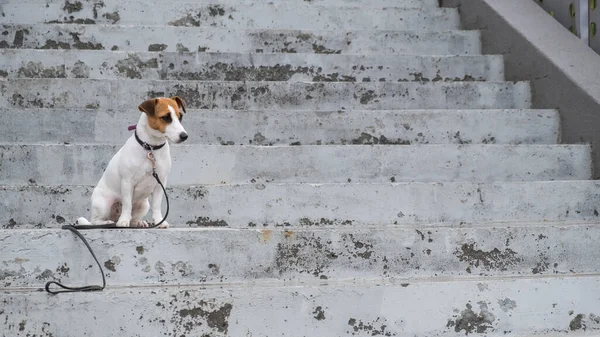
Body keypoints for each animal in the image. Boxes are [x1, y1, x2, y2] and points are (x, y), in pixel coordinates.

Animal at [77, 97, 188, 228]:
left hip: (144, 205)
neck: (151, 148)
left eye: (180, 116)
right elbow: (127, 204)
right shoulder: (127, 182)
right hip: (103, 203)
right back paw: (108, 222)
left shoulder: (160, 183)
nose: (184, 136)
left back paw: (138, 222)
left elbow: (156, 206)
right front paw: (123, 221)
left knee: (134, 218)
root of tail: (114, 217)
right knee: (96, 220)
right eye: (166, 117)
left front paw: (159, 221)